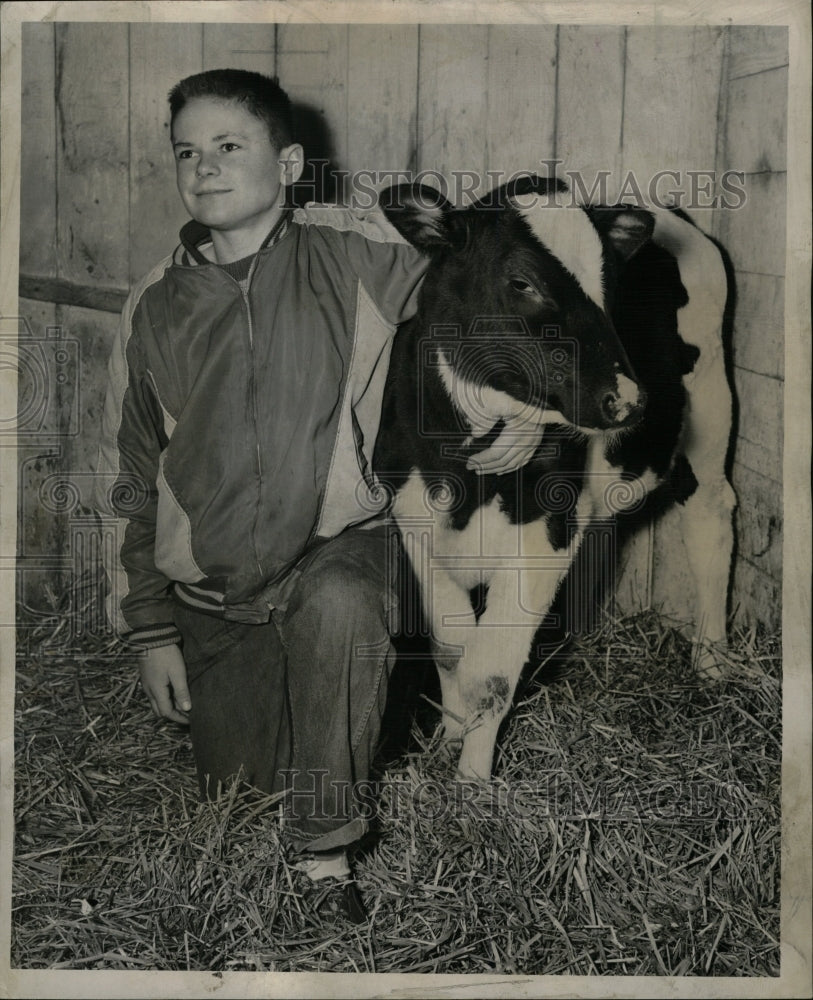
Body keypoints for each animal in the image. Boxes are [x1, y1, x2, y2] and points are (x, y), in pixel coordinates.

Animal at [374, 176, 736, 776]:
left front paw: (471, 783)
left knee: (711, 518)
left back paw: (711, 662)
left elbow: (491, 675)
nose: (626, 400)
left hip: (709, 404)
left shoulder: (545, 531)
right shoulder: (413, 515)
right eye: (521, 282)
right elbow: (451, 650)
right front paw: (449, 739)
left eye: (609, 284)